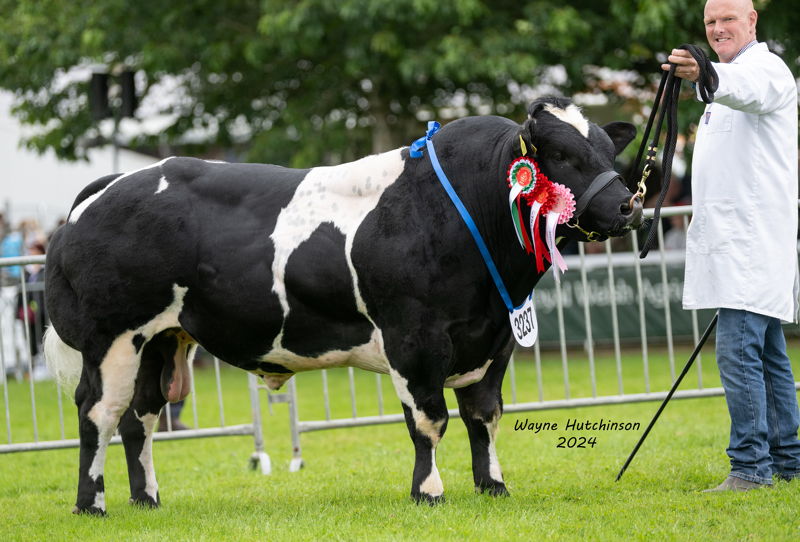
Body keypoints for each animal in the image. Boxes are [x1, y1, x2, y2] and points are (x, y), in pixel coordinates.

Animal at [45, 95, 644, 516]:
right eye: (561, 155)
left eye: (609, 151)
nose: (628, 205)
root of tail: (113, 182)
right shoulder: (414, 338)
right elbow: (429, 420)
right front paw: (428, 491)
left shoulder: (493, 341)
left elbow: (485, 416)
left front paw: (493, 486)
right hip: (112, 337)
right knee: (97, 411)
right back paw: (91, 504)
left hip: (163, 338)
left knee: (140, 418)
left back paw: (146, 498)